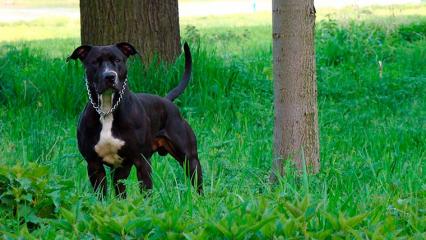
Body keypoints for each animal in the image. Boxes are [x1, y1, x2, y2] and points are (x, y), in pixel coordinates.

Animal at [68, 42, 203, 197]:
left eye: (117, 60)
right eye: (95, 62)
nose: (110, 76)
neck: (108, 110)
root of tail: (166, 101)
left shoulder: (142, 162)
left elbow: (146, 194)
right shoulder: (94, 165)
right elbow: (101, 197)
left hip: (190, 160)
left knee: (198, 183)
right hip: (120, 170)